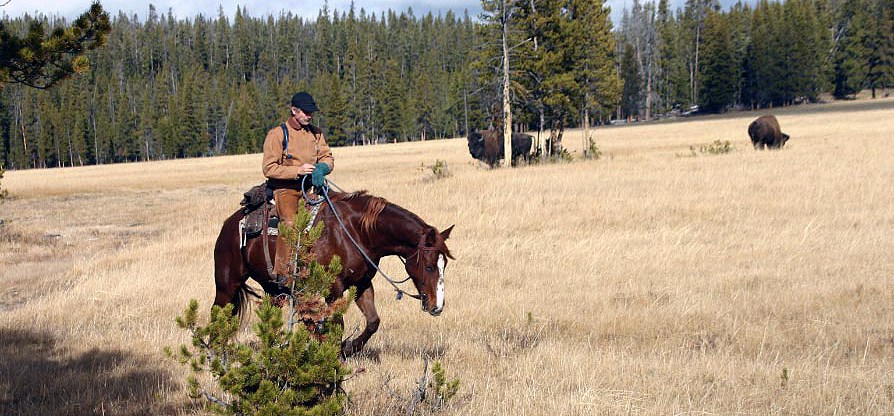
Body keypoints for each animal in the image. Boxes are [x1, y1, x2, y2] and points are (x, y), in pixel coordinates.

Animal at [214, 190, 456, 356]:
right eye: (429, 266)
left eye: (444, 265)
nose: (437, 306)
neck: (356, 232)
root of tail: (230, 223)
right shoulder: (334, 289)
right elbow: (337, 325)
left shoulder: (362, 283)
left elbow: (373, 321)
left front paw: (349, 348)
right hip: (227, 285)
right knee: (218, 314)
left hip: (273, 289)